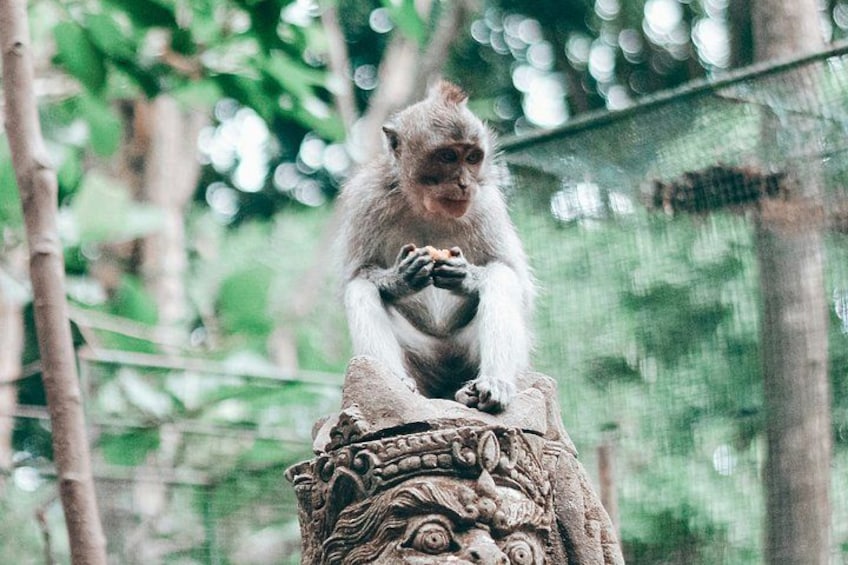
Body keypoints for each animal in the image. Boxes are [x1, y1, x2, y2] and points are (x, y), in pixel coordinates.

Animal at [337, 81, 534, 413]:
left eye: (472, 158)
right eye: (448, 157)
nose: (464, 183)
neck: (425, 206)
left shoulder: (486, 203)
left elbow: (514, 276)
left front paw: (466, 276)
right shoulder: (366, 197)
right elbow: (357, 274)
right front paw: (399, 279)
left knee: (501, 278)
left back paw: (489, 387)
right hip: (420, 357)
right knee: (360, 290)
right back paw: (394, 385)